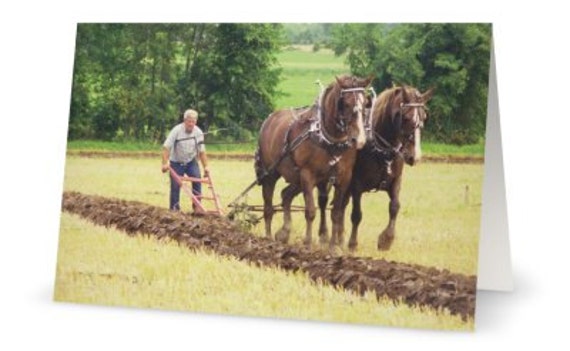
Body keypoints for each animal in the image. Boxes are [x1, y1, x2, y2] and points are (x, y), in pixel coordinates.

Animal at [254, 75, 370, 249]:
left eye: (365, 103)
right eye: (346, 103)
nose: (360, 139)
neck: (329, 140)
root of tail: (269, 119)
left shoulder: (343, 178)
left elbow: (336, 213)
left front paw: (332, 246)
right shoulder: (308, 175)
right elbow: (310, 210)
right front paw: (308, 243)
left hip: (296, 178)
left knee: (285, 195)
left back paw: (284, 232)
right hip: (271, 173)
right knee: (268, 206)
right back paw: (267, 239)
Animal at [318, 85, 432, 250]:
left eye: (423, 117)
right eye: (405, 117)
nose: (415, 157)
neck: (383, 151)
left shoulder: (396, 181)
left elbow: (395, 207)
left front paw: (386, 239)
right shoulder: (357, 185)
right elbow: (356, 215)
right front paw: (353, 244)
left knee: (341, 206)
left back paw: (339, 239)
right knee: (324, 202)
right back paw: (325, 236)